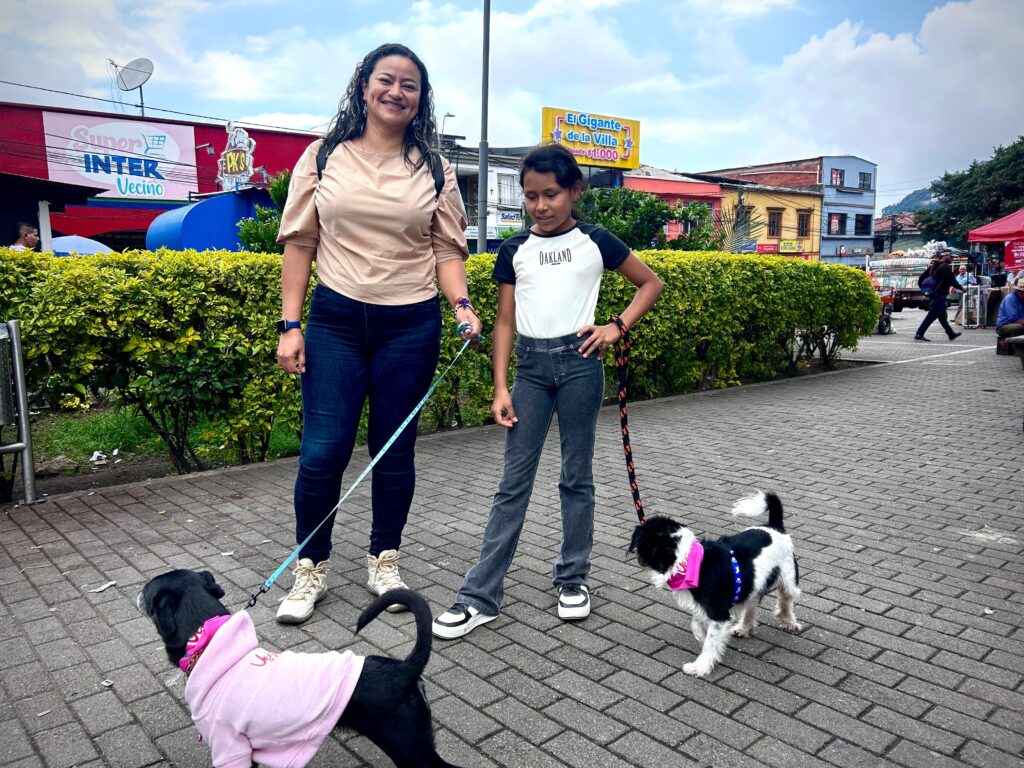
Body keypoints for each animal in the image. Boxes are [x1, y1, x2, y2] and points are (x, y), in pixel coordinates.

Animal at [138, 573, 458, 768]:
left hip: (409, 747)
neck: (209, 642)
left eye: (146, 591)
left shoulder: (230, 749)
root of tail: (404, 669)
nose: (136, 594)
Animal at [626, 493, 802, 679]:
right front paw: (707, 643)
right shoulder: (701, 607)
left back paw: (789, 622)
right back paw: (744, 628)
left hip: (788, 579)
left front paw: (700, 666)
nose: (638, 558)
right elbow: (697, 627)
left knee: (785, 600)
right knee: (752, 605)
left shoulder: (718, 612)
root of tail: (775, 526)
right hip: (753, 585)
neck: (687, 562)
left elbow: (710, 642)